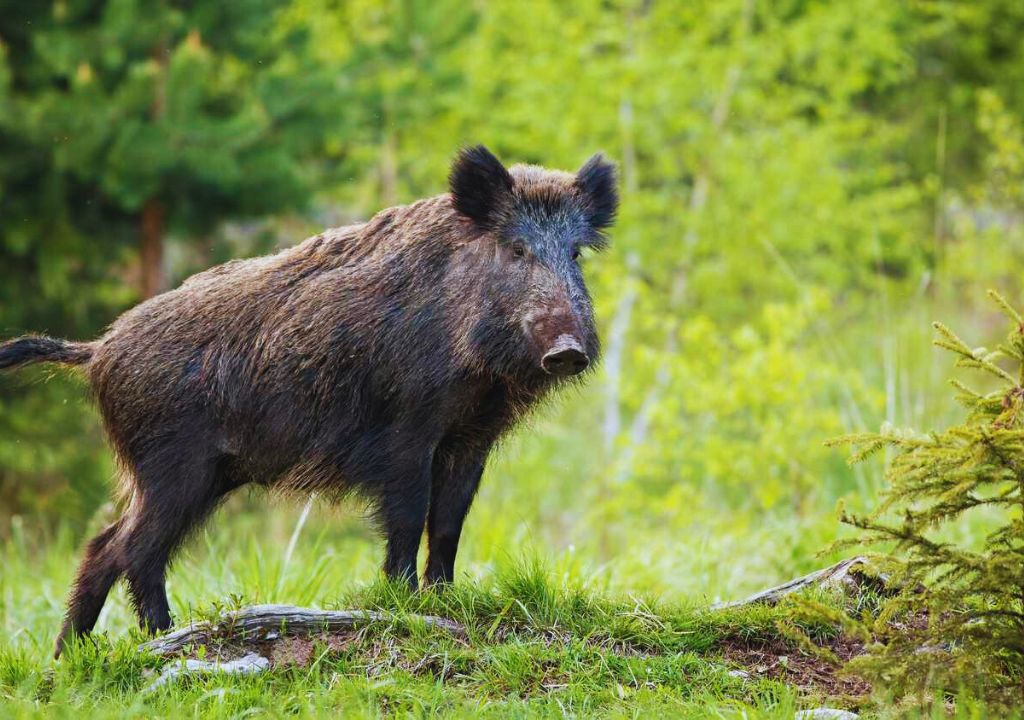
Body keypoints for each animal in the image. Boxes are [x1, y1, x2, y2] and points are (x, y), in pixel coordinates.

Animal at [0, 146, 617, 657]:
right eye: (516, 249)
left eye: (576, 254)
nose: (567, 349)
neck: (478, 374)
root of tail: (97, 350)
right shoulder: (406, 429)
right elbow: (408, 514)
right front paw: (404, 604)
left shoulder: (470, 437)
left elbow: (449, 521)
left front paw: (444, 602)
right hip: (174, 466)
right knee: (134, 550)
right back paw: (163, 638)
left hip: (194, 473)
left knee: (104, 546)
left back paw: (69, 659)